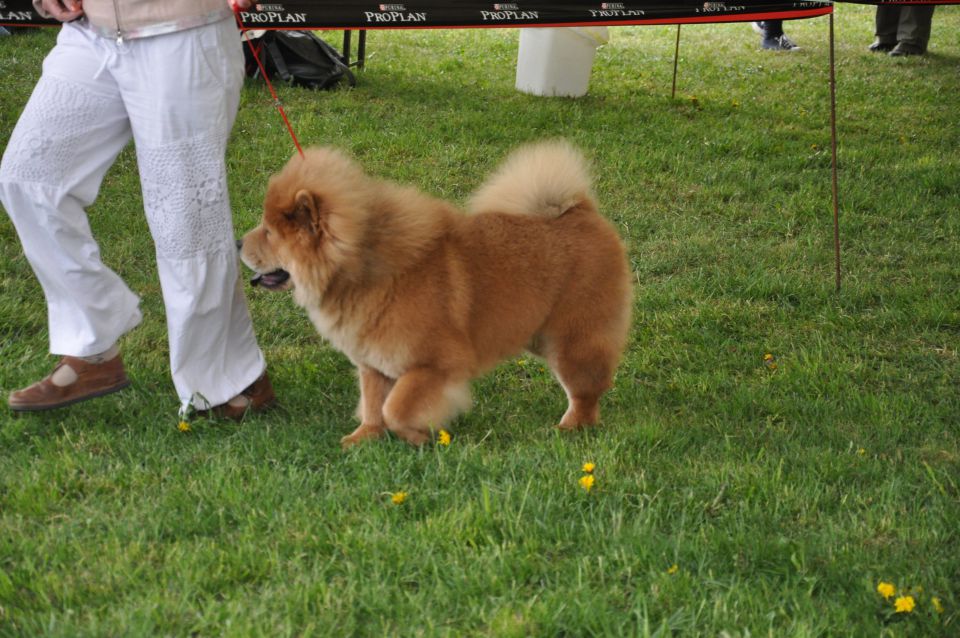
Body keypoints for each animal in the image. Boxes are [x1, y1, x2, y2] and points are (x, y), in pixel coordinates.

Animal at [238, 142, 632, 448]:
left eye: (269, 232)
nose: (239, 241)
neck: (362, 271)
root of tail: (581, 211)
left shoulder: (435, 364)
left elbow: (395, 409)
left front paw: (419, 437)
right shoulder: (373, 363)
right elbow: (373, 404)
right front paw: (364, 437)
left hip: (572, 339)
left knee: (584, 389)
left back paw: (572, 427)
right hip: (539, 336)